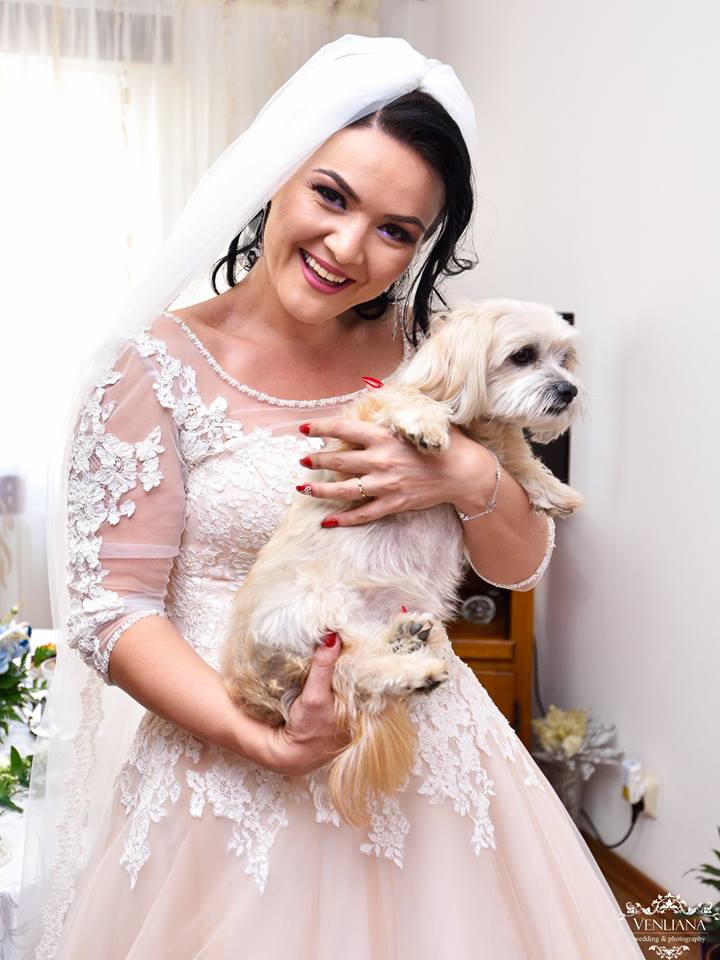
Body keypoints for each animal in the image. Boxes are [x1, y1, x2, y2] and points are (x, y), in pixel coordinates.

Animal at [220, 298, 586, 828]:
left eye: (565, 358)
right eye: (523, 355)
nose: (569, 390)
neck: (474, 422)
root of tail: (251, 692)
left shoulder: (497, 449)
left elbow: (515, 461)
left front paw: (554, 491)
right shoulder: (367, 424)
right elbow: (412, 405)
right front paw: (428, 425)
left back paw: (407, 641)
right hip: (310, 610)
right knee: (353, 674)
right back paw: (414, 671)